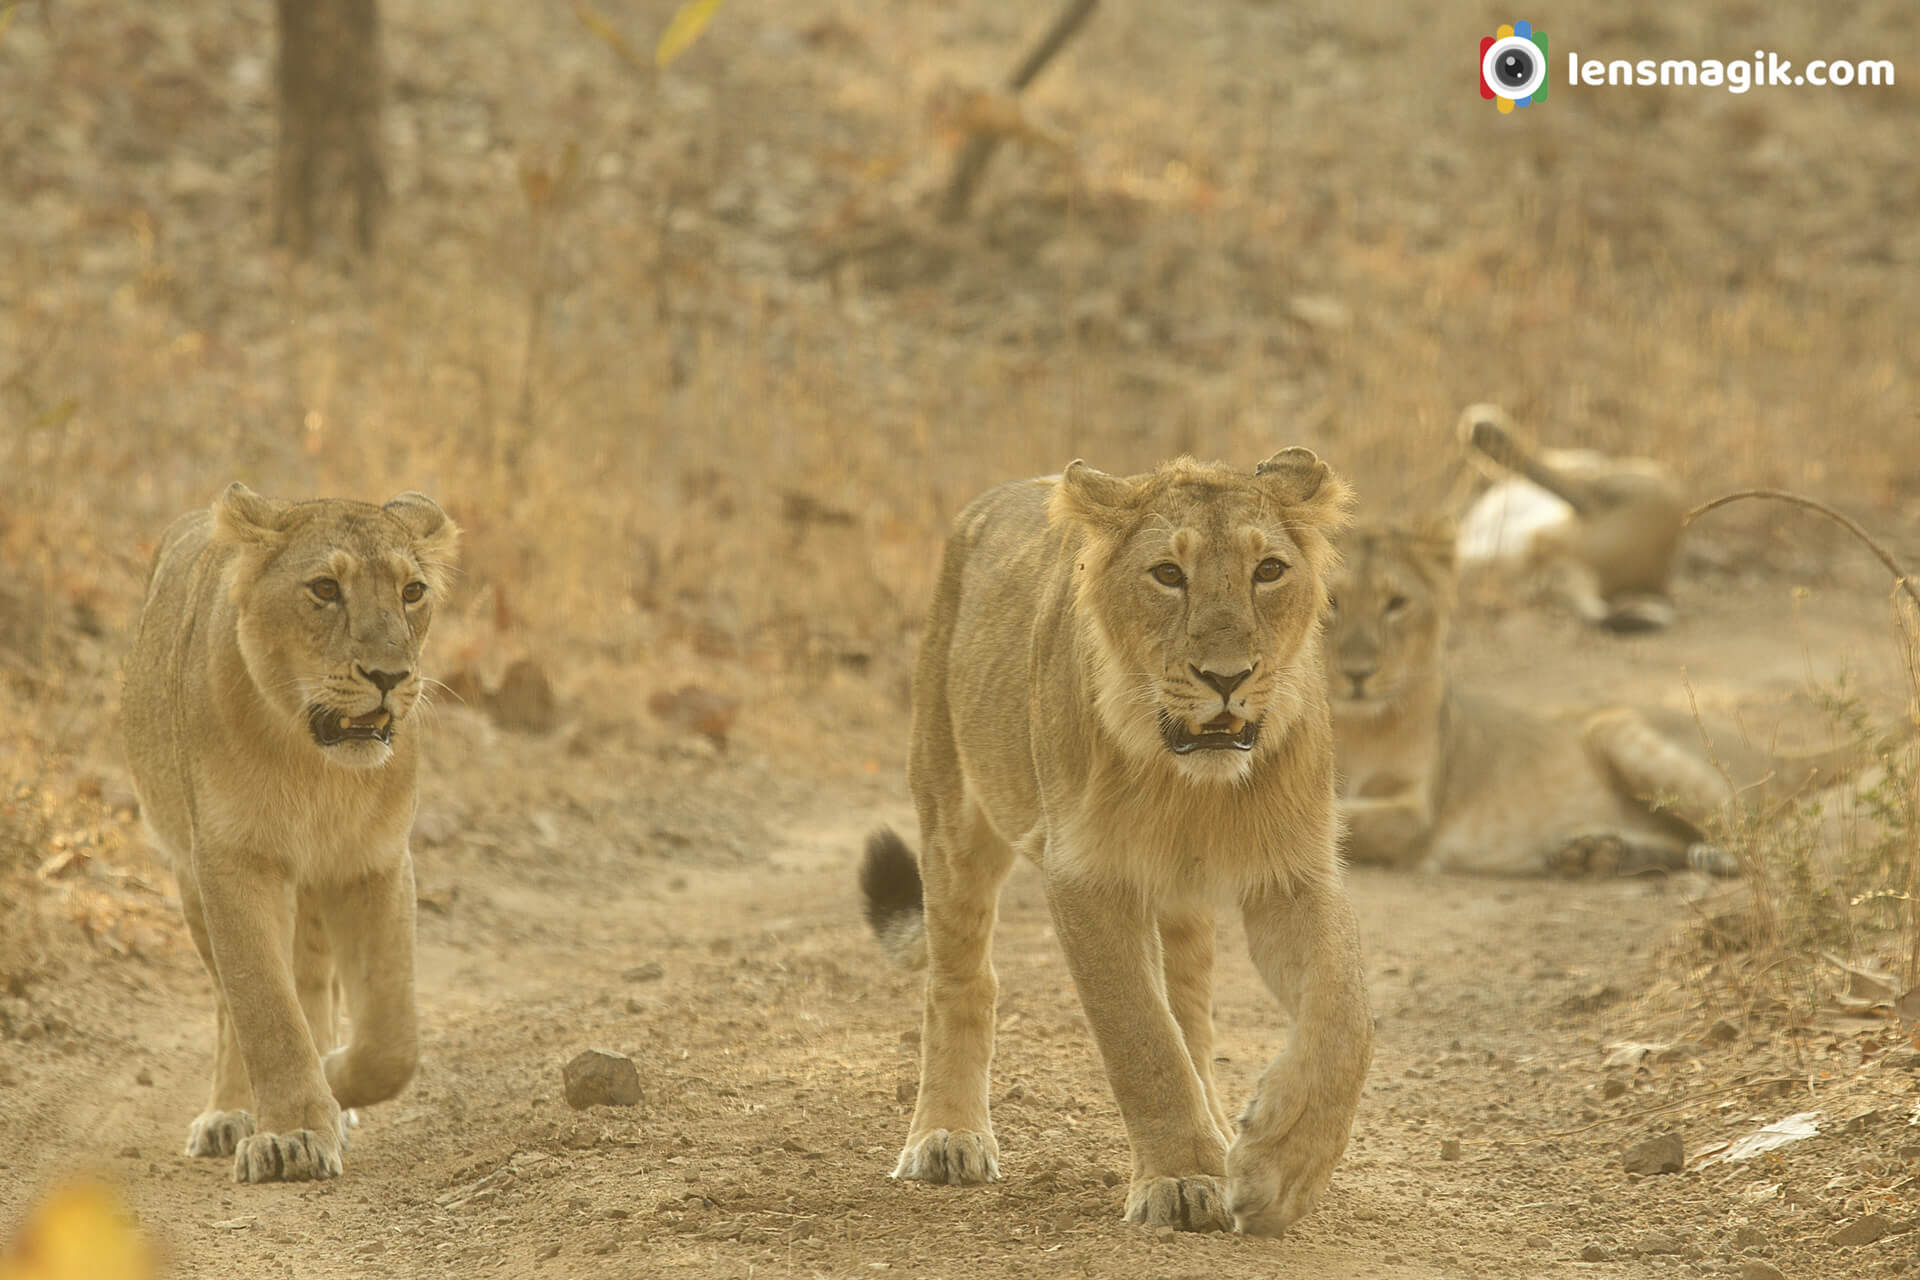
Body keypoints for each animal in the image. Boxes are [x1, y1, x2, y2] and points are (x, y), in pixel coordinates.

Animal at [123, 479, 460, 1182]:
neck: (316, 768)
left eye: (412, 591)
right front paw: (292, 1135)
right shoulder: (232, 859)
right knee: (229, 1004)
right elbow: (264, 1008)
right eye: (325, 589)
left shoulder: (374, 862)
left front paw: (333, 1084)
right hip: (188, 877)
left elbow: (391, 1039)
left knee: (313, 981)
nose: (389, 677)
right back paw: (229, 1114)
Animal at [864, 454, 1374, 1235]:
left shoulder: (1292, 873)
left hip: (1183, 898)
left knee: (1192, 1011)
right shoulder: (1086, 874)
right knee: (962, 979)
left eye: (1269, 570)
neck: (1190, 786)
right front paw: (1185, 1177)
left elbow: (1344, 1017)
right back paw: (948, 1136)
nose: (1226, 678)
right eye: (1167, 574)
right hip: (952, 812)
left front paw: (1278, 1167)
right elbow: (1140, 1033)